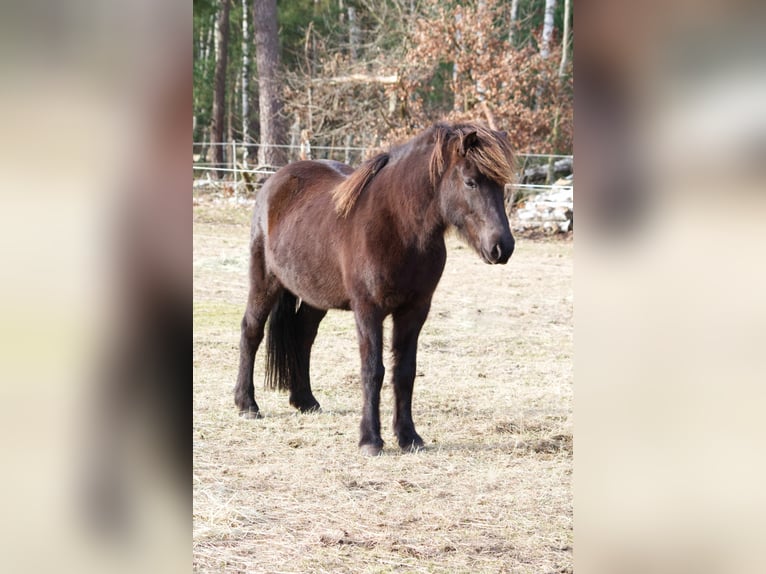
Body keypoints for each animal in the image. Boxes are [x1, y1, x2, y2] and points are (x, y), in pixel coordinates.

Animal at [234, 124, 520, 456]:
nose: (502, 247)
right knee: (251, 331)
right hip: (264, 281)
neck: (398, 228)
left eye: (501, 185)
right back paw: (246, 404)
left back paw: (305, 400)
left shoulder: (415, 310)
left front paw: (409, 436)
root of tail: (276, 180)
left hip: (315, 297)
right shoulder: (368, 310)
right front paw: (370, 439)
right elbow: (373, 370)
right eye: (471, 182)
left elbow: (405, 371)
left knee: (303, 336)